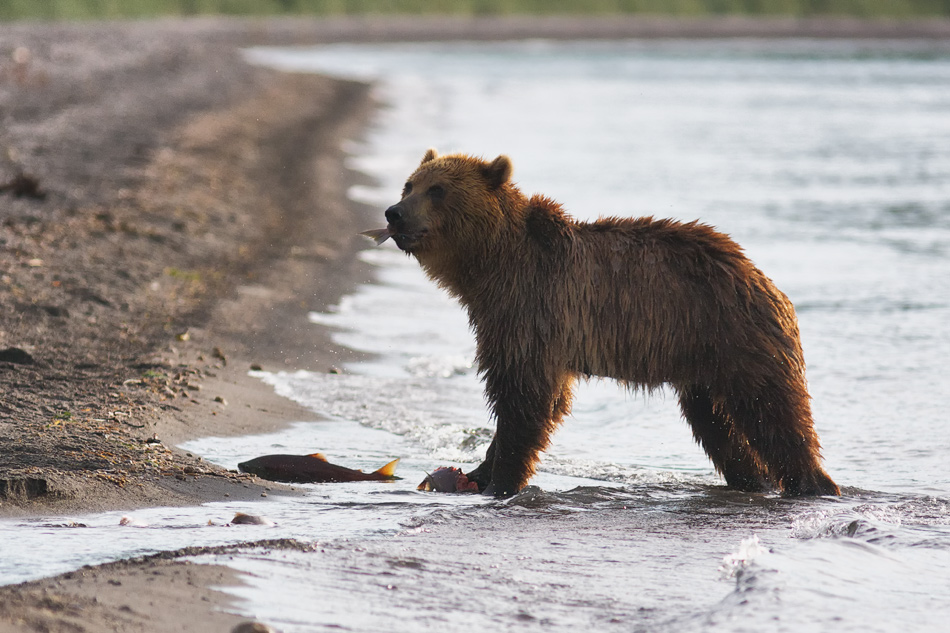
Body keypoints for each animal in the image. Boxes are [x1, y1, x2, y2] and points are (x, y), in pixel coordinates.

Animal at [372, 149, 840, 498]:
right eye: (409, 184)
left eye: (438, 190)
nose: (394, 213)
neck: (492, 267)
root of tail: (765, 281)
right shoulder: (512, 315)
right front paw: (476, 473)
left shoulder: (534, 309)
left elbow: (525, 396)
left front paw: (499, 479)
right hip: (704, 360)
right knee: (717, 424)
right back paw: (754, 479)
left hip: (737, 338)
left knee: (775, 414)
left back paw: (813, 484)